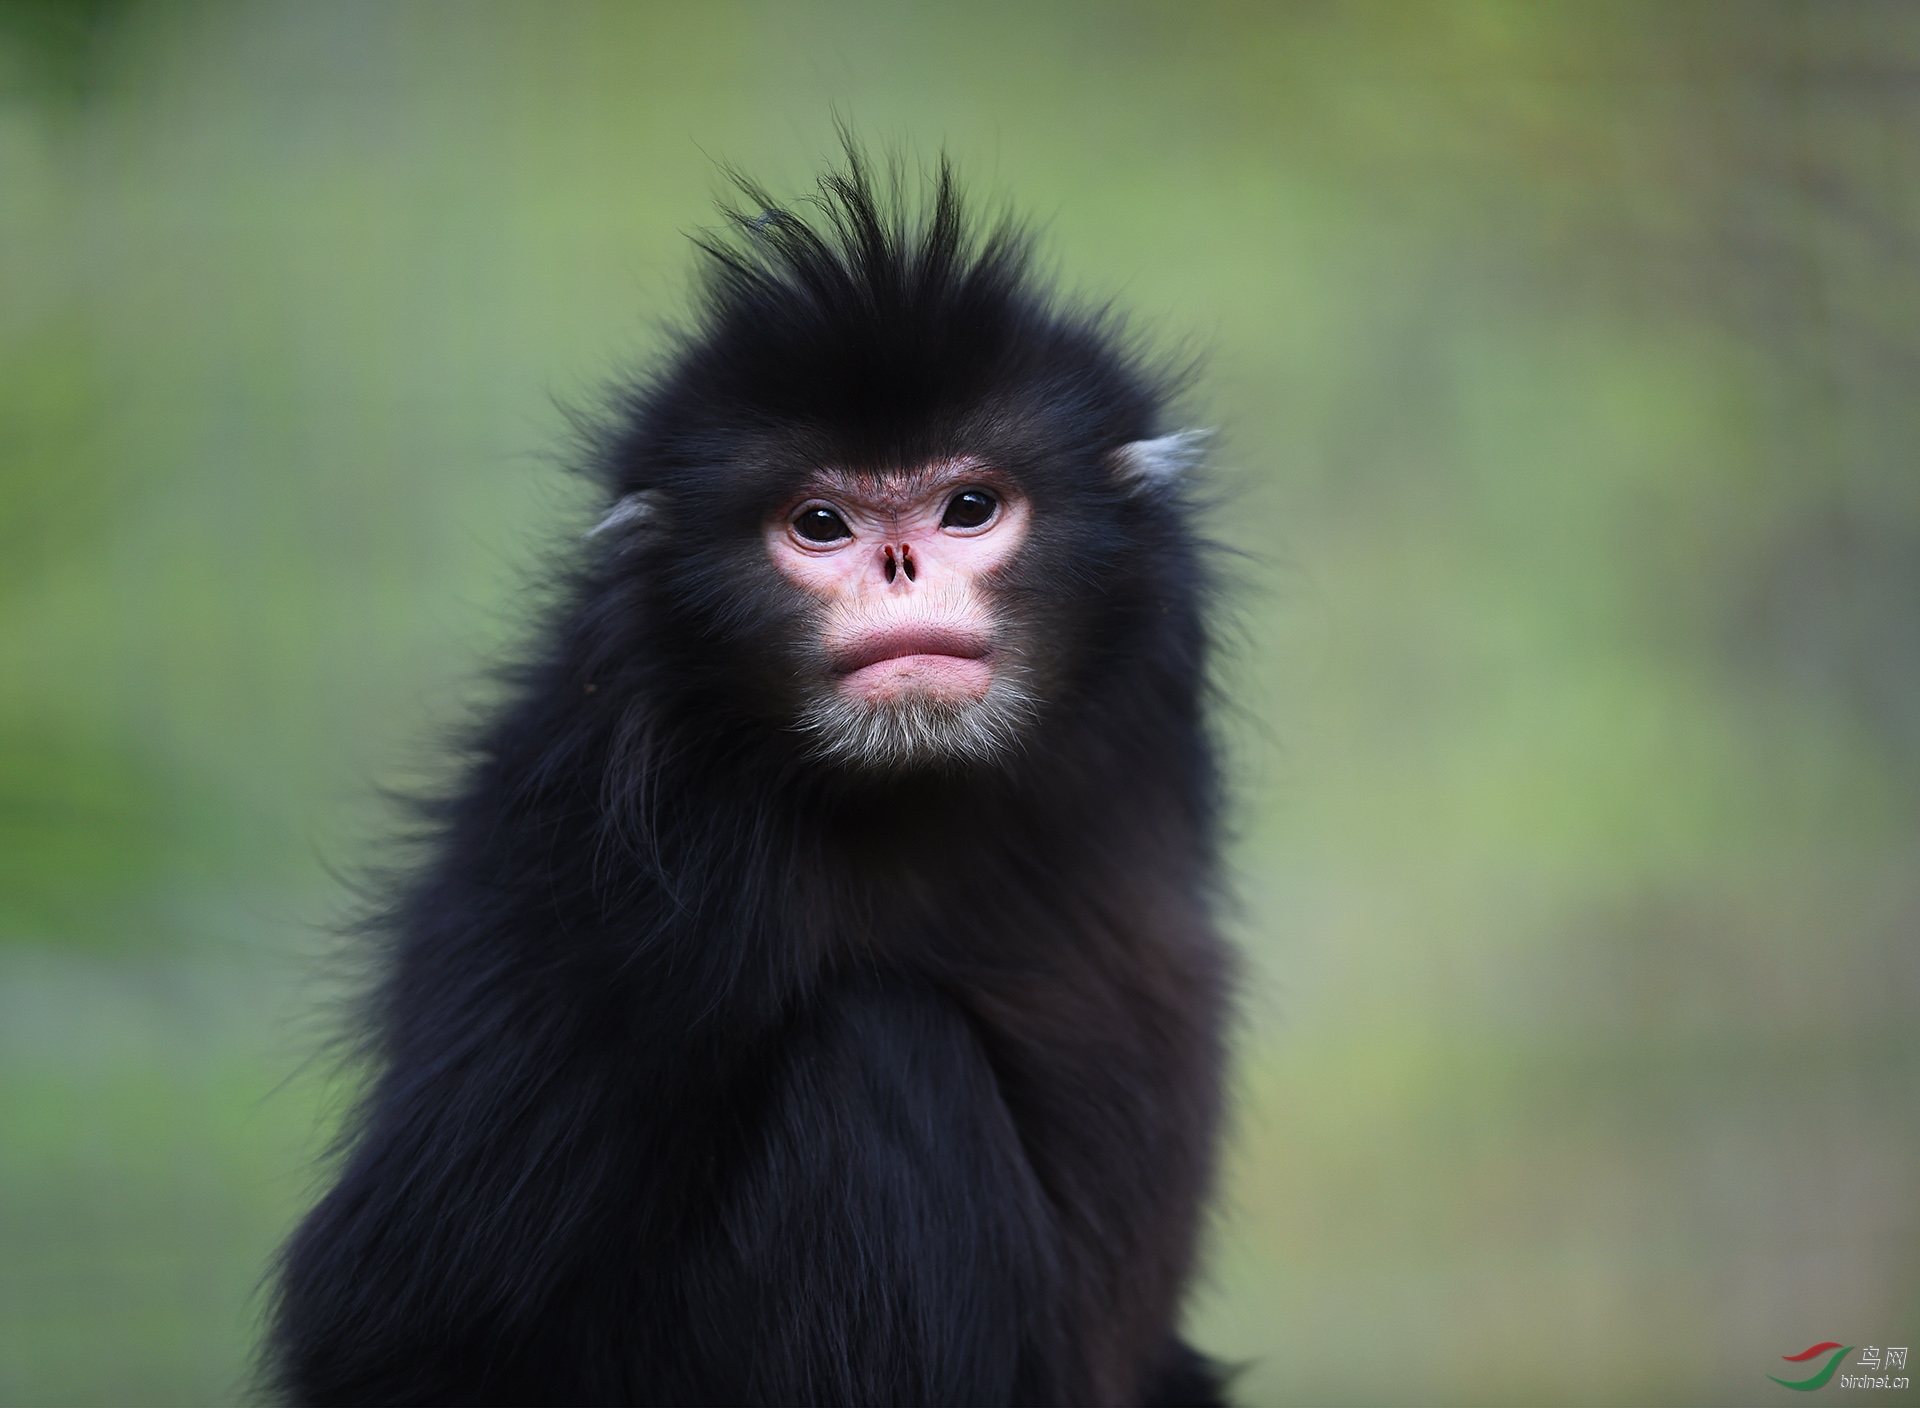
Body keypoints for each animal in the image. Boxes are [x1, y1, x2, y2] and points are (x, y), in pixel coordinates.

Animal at [266, 147, 1228, 1398]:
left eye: (969, 506)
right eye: (820, 523)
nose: (899, 561)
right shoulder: (640, 857)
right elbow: (388, 1329)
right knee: (875, 1050)